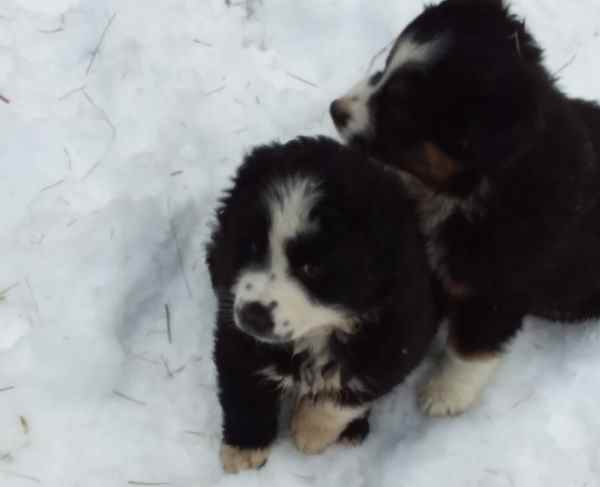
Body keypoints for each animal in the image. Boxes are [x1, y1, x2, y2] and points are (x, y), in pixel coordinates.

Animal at [206, 136, 436, 472]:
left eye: (312, 267)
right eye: (252, 246)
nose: (252, 316)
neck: (317, 334)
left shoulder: (399, 337)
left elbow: (350, 392)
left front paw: (310, 430)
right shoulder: (235, 331)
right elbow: (244, 390)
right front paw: (244, 449)